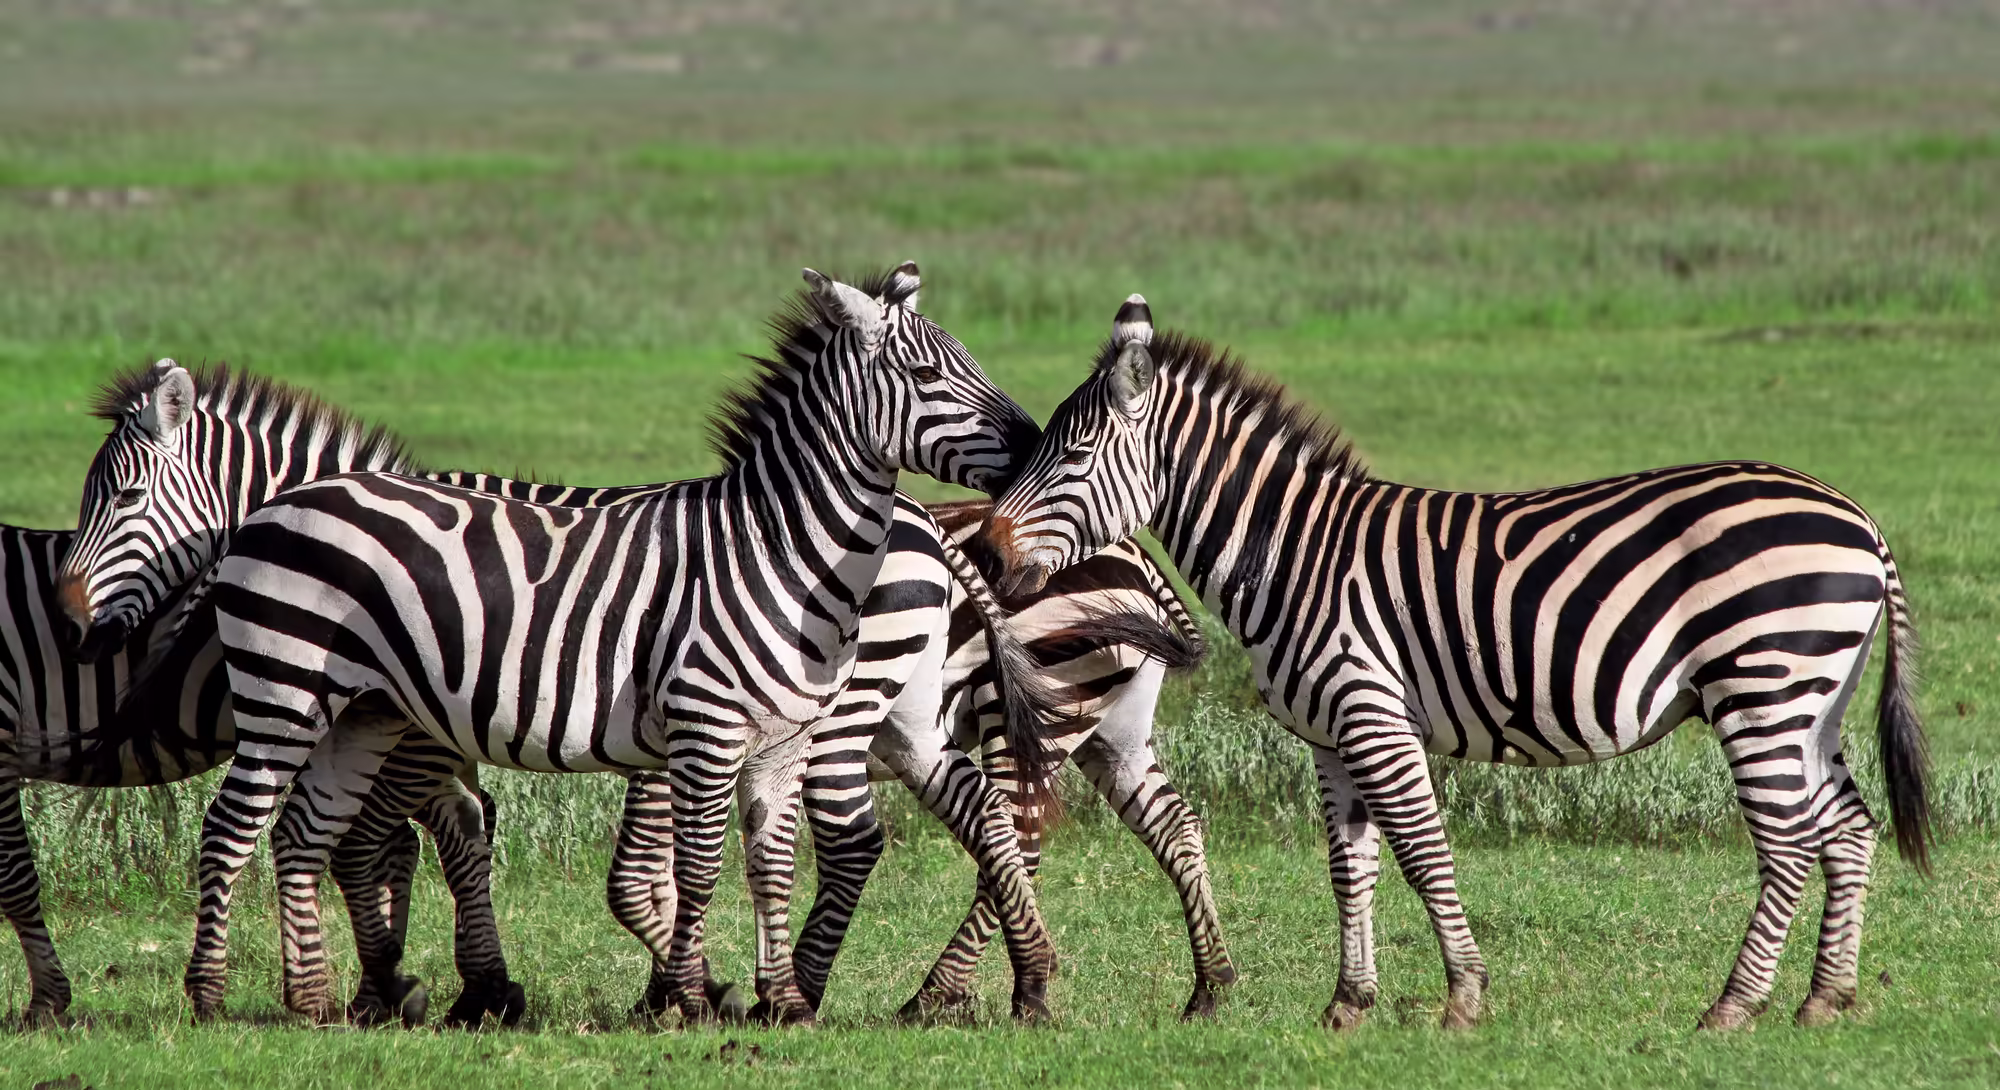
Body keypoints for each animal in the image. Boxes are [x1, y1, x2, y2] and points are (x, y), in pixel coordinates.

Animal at [56, 357, 1237, 1026]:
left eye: (121, 492)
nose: (68, 610)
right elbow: (422, 847)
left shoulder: (437, 734)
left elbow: (429, 842)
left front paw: (453, 985)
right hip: (1015, 723)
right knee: (1068, 823)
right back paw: (1051, 984)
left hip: (899, 712)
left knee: (949, 832)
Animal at [982, 296, 1932, 1032]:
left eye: (1069, 458)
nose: (987, 555)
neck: (1292, 554)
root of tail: (1857, 517)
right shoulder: (1329, 733)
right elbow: (1351, 865)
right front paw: (1349, 1004)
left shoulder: (1372, 709)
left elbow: (1422, 851)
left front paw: (1464, 997)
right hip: (1813, 700)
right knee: (1849, 829)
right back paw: (1825, 999)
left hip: (1762, 687)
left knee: (1788, 842)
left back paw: (1733, 1007)